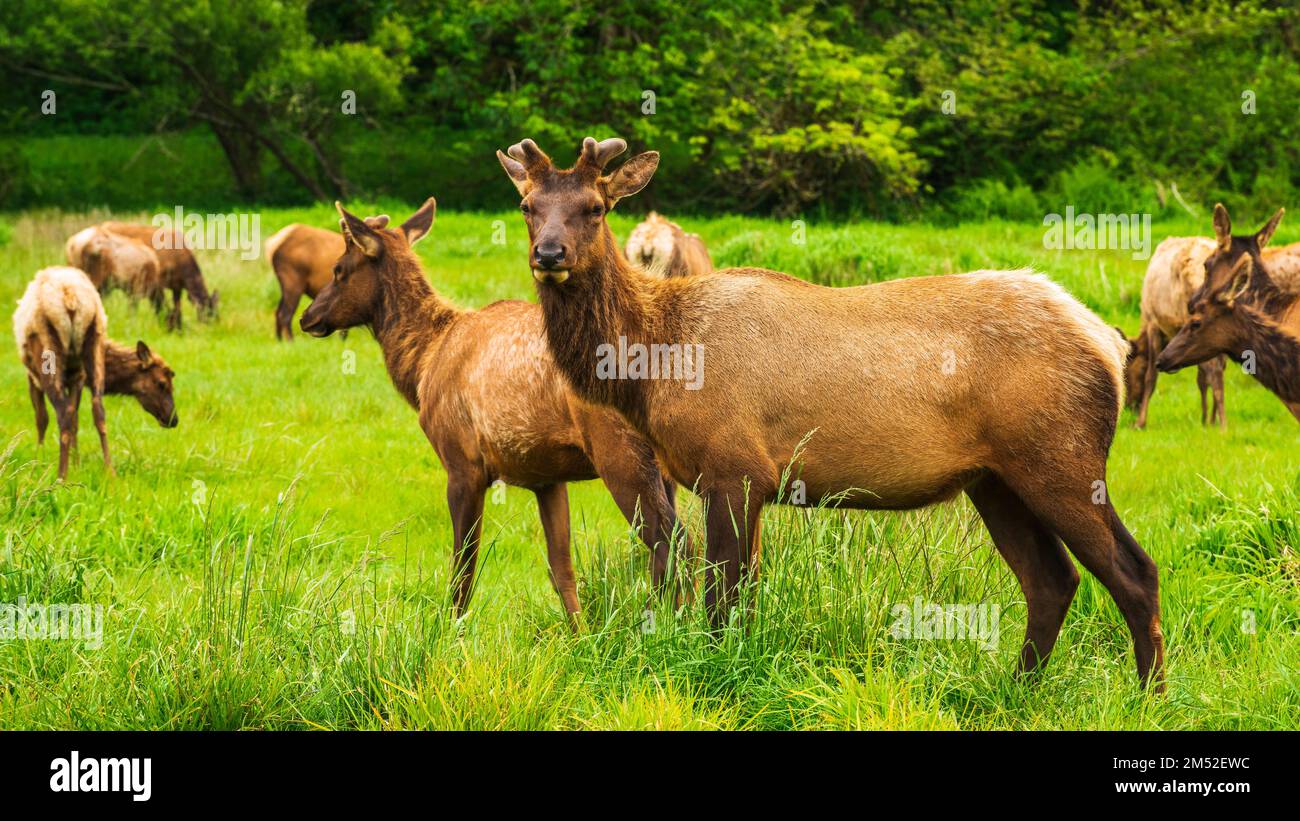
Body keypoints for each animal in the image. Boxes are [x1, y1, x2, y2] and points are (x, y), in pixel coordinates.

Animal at [299, 198, 691, 620]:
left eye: (339, 269)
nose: (308, 317)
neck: (423, 366)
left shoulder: (462, 462)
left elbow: (462, 573)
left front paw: (449, 631)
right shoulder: (546, 477)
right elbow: (561, 569)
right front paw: (580, 630)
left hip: (619, 450)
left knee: (675, 542)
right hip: (661, 465)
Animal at [499, 137, 1170, 691]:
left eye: (595, 207)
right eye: (528, 206)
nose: (549, 253)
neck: (656, 365)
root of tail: (1109, 344)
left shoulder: (734, 466)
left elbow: (721, 600)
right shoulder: (752, 480)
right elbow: (744, 596)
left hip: (1060, 457)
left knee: (1134, 572)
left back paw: (1149, 697)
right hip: (996, 479)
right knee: (1051, 581)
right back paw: (1018, 689)